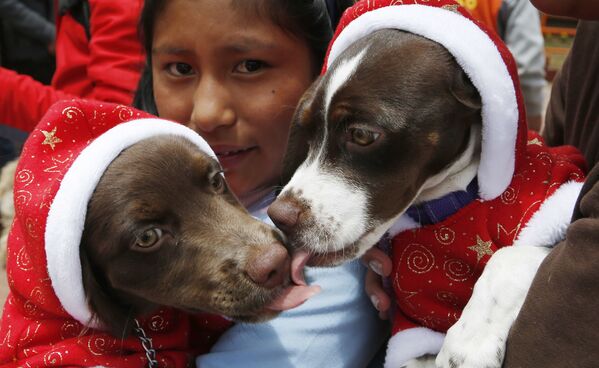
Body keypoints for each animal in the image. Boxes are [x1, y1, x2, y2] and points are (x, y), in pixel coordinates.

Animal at [268, 1, 584, 366]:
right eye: (306, 130)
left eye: (362, 135)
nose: (279, 218)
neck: (448, 207)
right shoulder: (415, 330)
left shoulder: (556, 203)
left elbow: (508, 256)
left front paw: (468, 344)